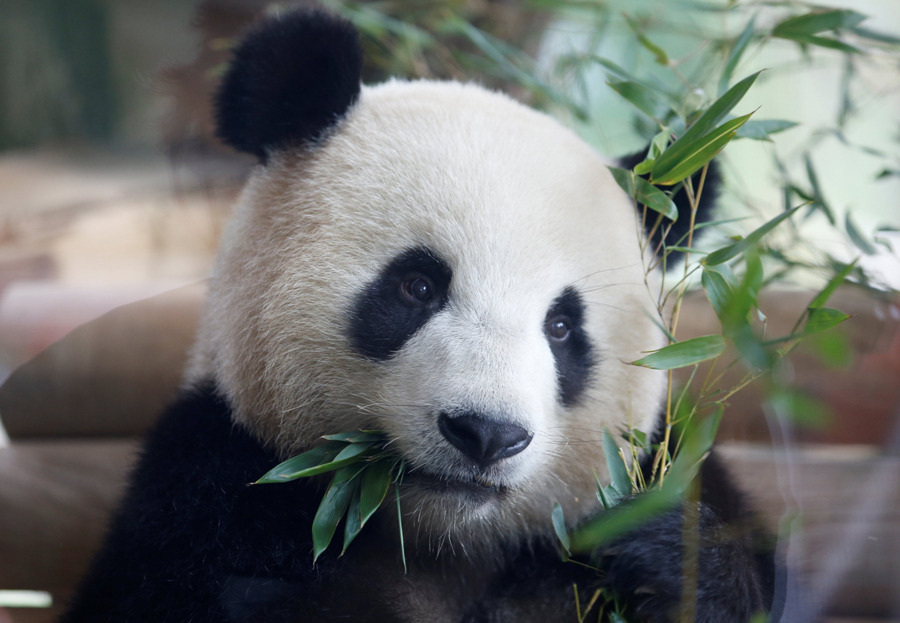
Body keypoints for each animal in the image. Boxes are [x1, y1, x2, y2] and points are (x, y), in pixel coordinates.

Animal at [61, 9, 776, 623]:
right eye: (418, 286)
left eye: (563, 327)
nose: (487, 433)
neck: (444, 539)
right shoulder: (206, 489)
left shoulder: (663, 467)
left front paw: (663, 559)